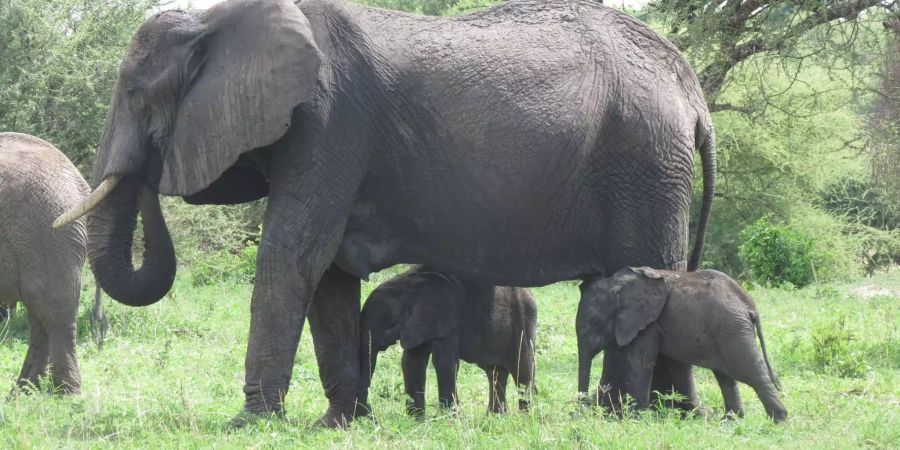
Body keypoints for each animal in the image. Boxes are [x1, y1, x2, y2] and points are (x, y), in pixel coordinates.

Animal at [0, 132, 109, 392]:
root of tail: (80, 184)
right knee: (39, 315)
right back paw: (24, 390)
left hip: (47, 232)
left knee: (52, 312)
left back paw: (65, 392)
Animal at [358, 266, 536, 416]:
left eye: (387, 319)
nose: (369, 412)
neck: (410, 282)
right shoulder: (418, 324)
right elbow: (413, 360)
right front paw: (417, 420)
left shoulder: (448, 318)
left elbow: (444, 361)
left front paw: (449, 420)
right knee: (495, 373)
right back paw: (495, 418)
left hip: (523, 321)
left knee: (522, 371)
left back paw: (525, 418)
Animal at [580, 268, 784, 424]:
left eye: (595, 322)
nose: (585, 404)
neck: (616, 283)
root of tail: (749, 304)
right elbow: (676, 367)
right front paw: (697, 415)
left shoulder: (648, 324)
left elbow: (641, 363)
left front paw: (637, 418)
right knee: (726, 377)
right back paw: (730, 421)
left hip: (733, 331)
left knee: (751, 372)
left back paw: (778, 421)